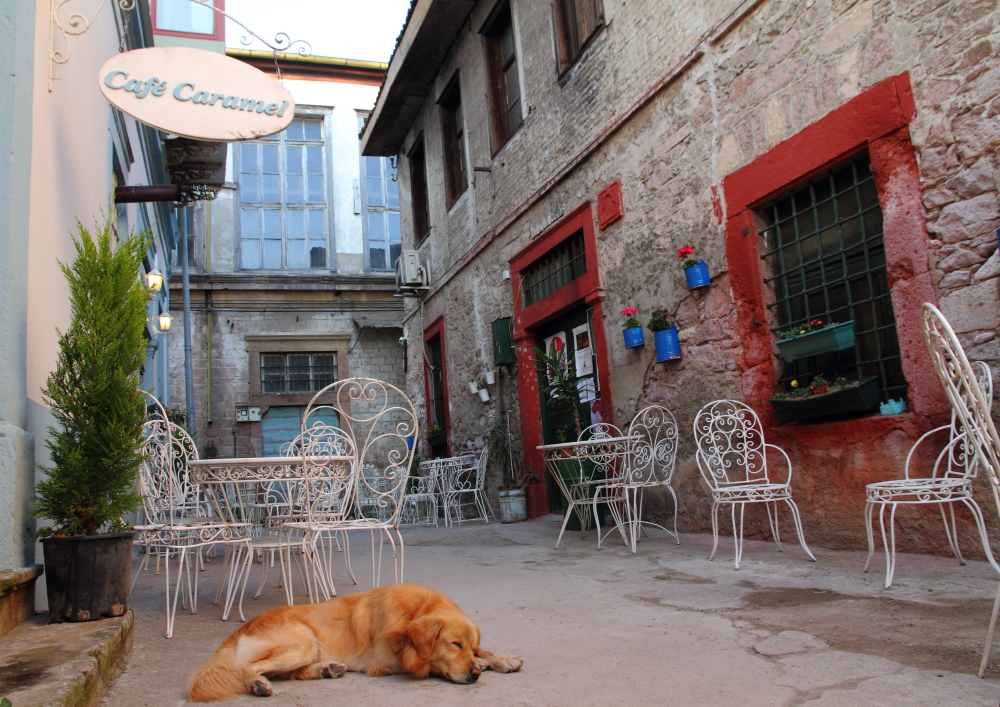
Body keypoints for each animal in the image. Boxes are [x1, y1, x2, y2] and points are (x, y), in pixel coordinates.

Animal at [184, 584, 524, 700]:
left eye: (464, 644)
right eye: (454, 645)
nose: (474, 675)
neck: (413, 612)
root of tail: (241, 628)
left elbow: (485, 648)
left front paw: (499, 658)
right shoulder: (383, 662)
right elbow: (425, 663)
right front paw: (482, 662)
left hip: (307, 649)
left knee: (285, 672)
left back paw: (326, 670)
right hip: (303, 643)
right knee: (248, 667)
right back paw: (257, 685)